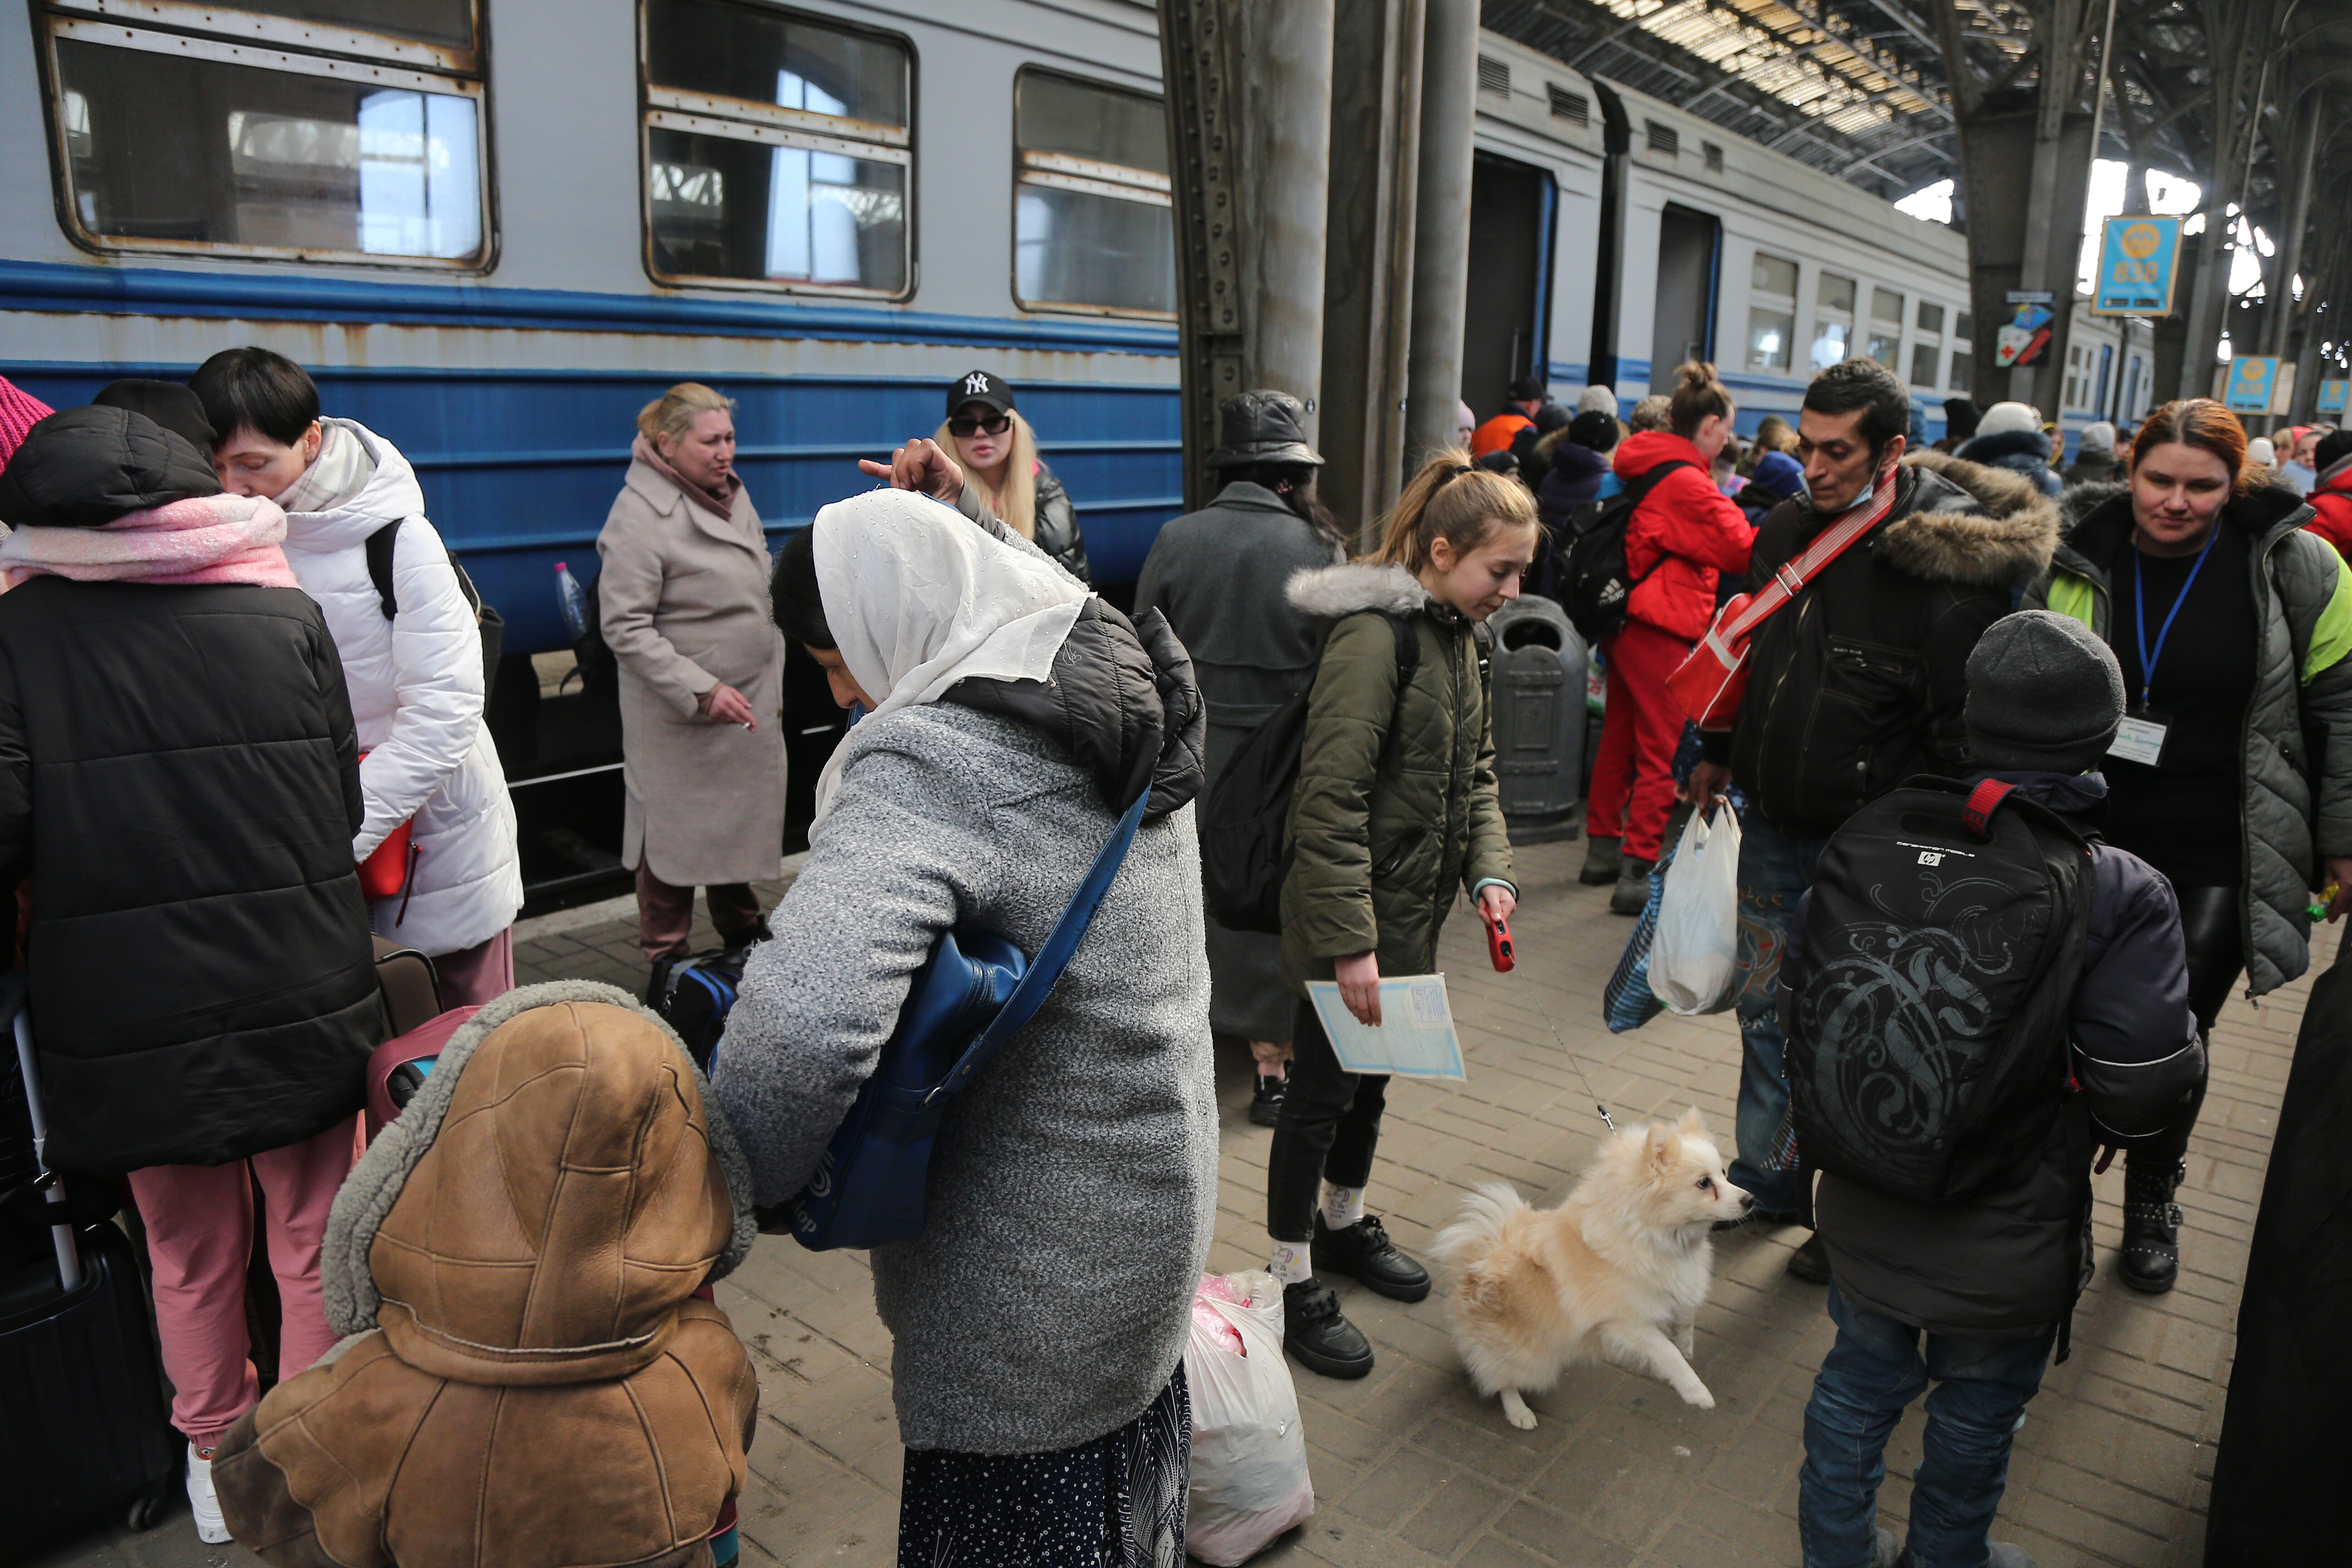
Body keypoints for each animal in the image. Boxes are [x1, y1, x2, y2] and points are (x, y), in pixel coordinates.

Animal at [1430, 1109, 1749, 1429]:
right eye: (1704, 1183)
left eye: (1724, 1174)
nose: (1750, 1199)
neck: (1652, 1235)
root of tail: (1477, 1262)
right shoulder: (1623, 1321)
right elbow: (1665, 1352)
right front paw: (1695, 1391)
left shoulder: (1679, 1284)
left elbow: (1685, 1319)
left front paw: (1687, 1345)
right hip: (1530, 1356)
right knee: (1502, 1379)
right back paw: (1518, 1412)